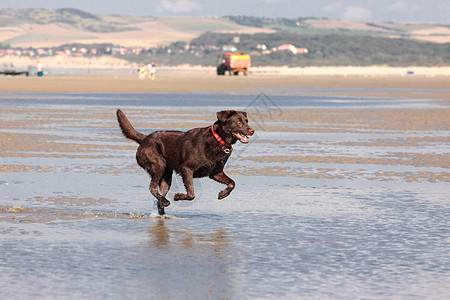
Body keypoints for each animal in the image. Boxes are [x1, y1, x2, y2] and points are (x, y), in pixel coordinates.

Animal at [116, 109, 255, 214]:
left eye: (247, 121)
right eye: (238, 122)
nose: (252, 130)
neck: (218, 140)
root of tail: (144, 138)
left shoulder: (215, 172)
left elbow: (232, 183)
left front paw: (223, 194)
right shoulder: (186, 169)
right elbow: (191, 193)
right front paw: (178, 197)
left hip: (167, 175)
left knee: (159, 196)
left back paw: (163, 209)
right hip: (159, 164)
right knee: (152, 187)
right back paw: (165, 201)